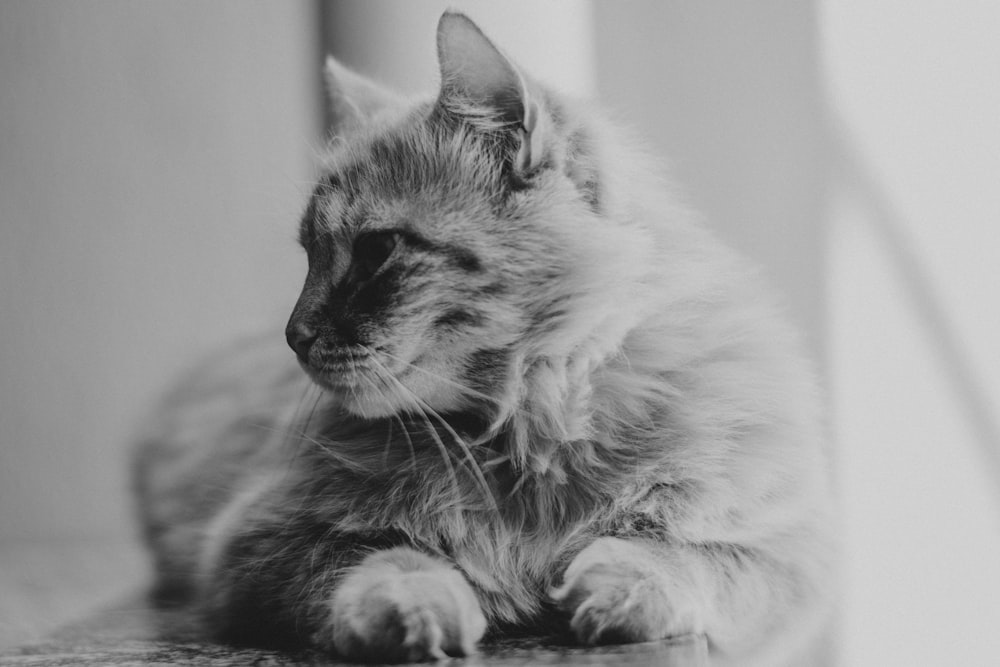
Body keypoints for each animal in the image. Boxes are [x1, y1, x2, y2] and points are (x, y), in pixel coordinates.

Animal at [131, 11, 836, 667]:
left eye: (376, 251)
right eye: (309, 255)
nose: (295, 335)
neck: (528, 444)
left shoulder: (784, 553)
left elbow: (683, 557)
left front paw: (619, 590)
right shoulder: (259, 541)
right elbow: (385, 558)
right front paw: (418, 608)